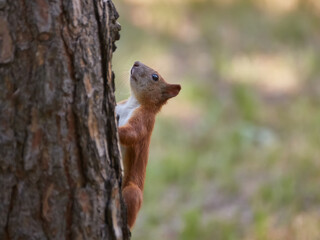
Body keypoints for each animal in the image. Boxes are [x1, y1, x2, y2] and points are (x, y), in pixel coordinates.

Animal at [115, 61, 181, 228]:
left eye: (155, 77)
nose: (136, 62)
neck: (133, 103)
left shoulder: (144, 121)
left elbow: (133, 134)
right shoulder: (119, 106)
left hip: (133, 191)